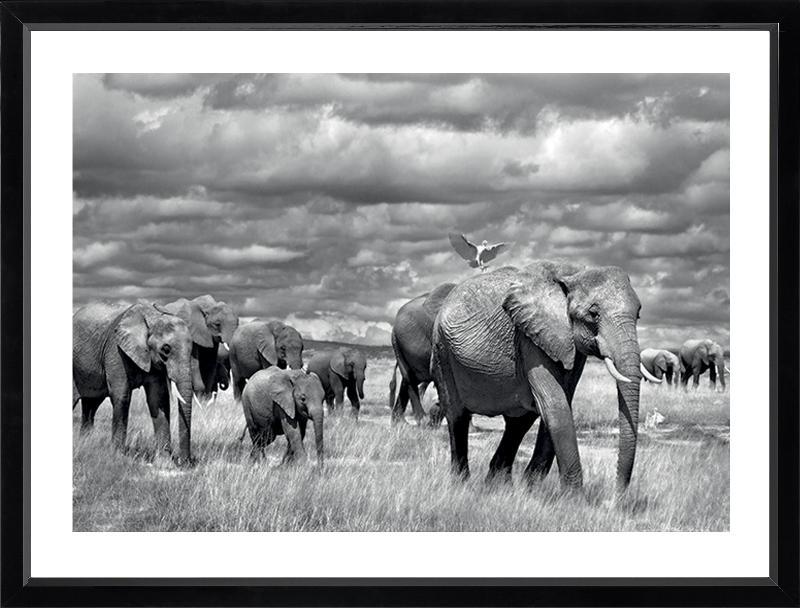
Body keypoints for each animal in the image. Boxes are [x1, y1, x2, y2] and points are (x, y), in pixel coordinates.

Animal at [72, 302, 196, 464]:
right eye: (166, 349)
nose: (185, 462)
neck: (153, 317)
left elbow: (158, 400)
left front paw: (165, 462)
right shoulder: (116, 351)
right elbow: (122, 396)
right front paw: (117, 456)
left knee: (91, 405)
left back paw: (86, 443)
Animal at [431, 260, 646, 492]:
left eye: (638, 314)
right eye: (593, 314)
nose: (616, 494)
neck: (573, 273)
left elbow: (561, 403)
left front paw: (530, 488)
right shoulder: (531, 336)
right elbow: (555, 405)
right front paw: (573, 497)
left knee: (520, 421)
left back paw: (498, 484)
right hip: (442, 351)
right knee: (457, 416)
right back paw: (462, 484)